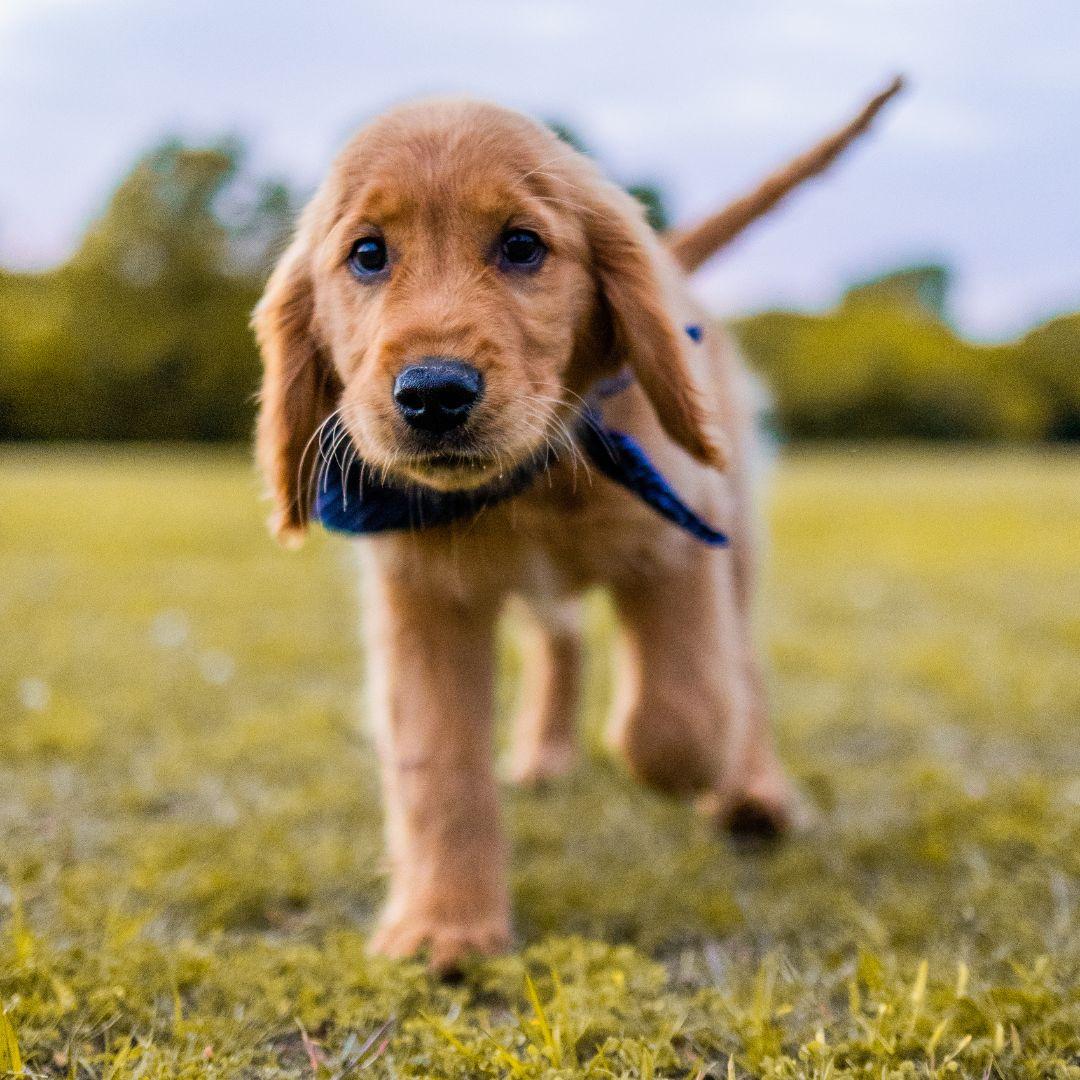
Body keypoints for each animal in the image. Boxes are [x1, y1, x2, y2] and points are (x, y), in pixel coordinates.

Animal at [254, 78, 902, 972]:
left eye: (523, 246)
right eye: (368, 254)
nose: (433, 393)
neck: (531, 484)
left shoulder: (679, 539)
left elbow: (683, 711)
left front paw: (694, 766)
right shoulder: (422, 597)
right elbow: (436, 766)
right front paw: (444, 927)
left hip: (735, 536)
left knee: (743, 664)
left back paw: (752, 791)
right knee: (558, 639)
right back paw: (543, 755)